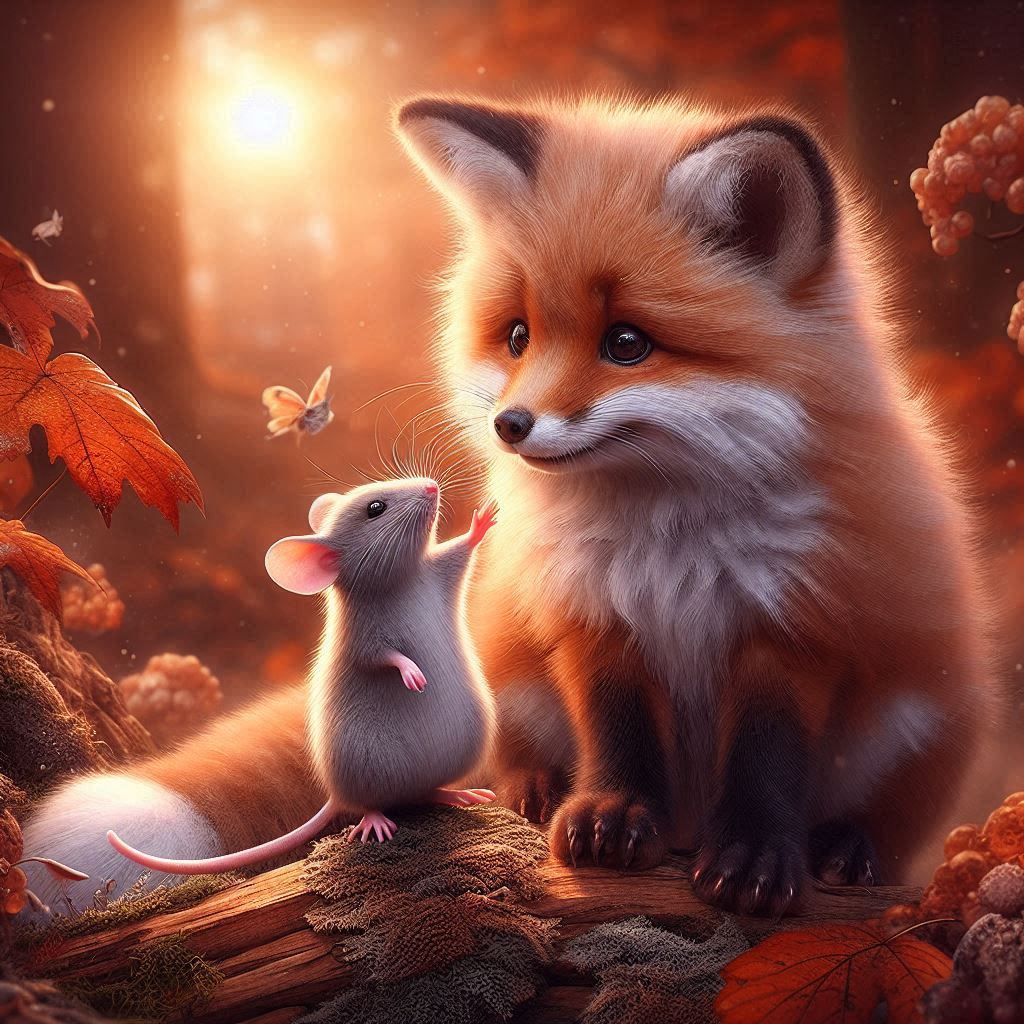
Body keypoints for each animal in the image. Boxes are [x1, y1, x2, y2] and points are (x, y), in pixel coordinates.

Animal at [21, 96, 993, 917]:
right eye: (518, 335)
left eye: (627, 343)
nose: (510, 425)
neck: (664, 540)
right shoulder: (589, 616)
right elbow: (618, 734)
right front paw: (606, 817)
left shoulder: (795, 627)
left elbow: (768, 757)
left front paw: (756, 860)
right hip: (513, 675)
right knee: (515, 752)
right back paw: (529, 792)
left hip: (913, 721)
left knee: (874, 811)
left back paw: (845, 847)